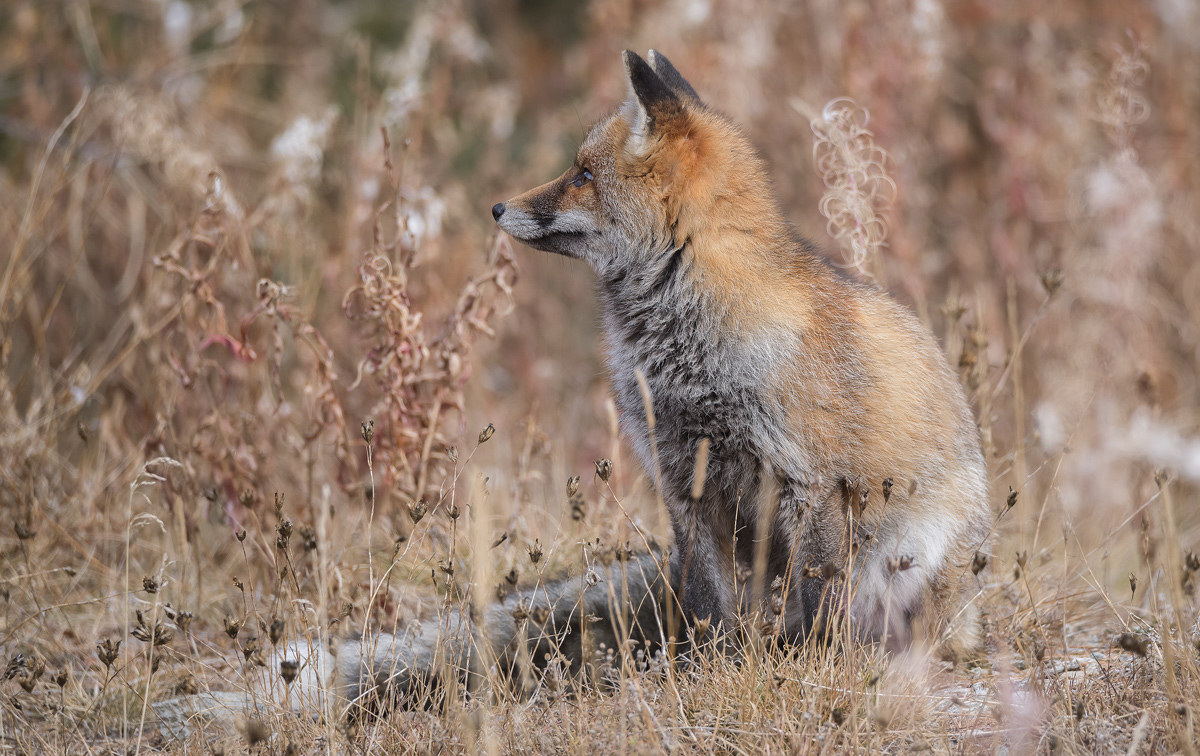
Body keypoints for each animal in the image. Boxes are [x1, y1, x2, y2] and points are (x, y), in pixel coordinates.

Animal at [152, 50, 990, 735]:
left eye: (583, 173)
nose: (495, 206)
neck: (684, 343)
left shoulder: (808, 483)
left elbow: (816, 608)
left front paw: (808, 672)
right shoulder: (684, 483)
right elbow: (710, 614)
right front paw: (710, 680)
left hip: (915, 553)